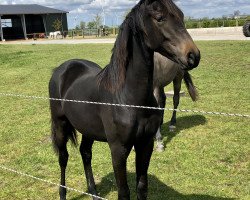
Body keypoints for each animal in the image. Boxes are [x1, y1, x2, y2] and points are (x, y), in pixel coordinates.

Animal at [49, 0, 199, 199]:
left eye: (181, 16)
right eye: (160, 18)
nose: (193, 56)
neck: (128, 98)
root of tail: (62, 69)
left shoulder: (145, 144)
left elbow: (142, 186)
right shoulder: (118, 150)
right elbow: (124, 191)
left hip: (88, 129)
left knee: (85, 153)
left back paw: (93, 192)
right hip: (60, 124)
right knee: (63, 157)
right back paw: (63, 193)